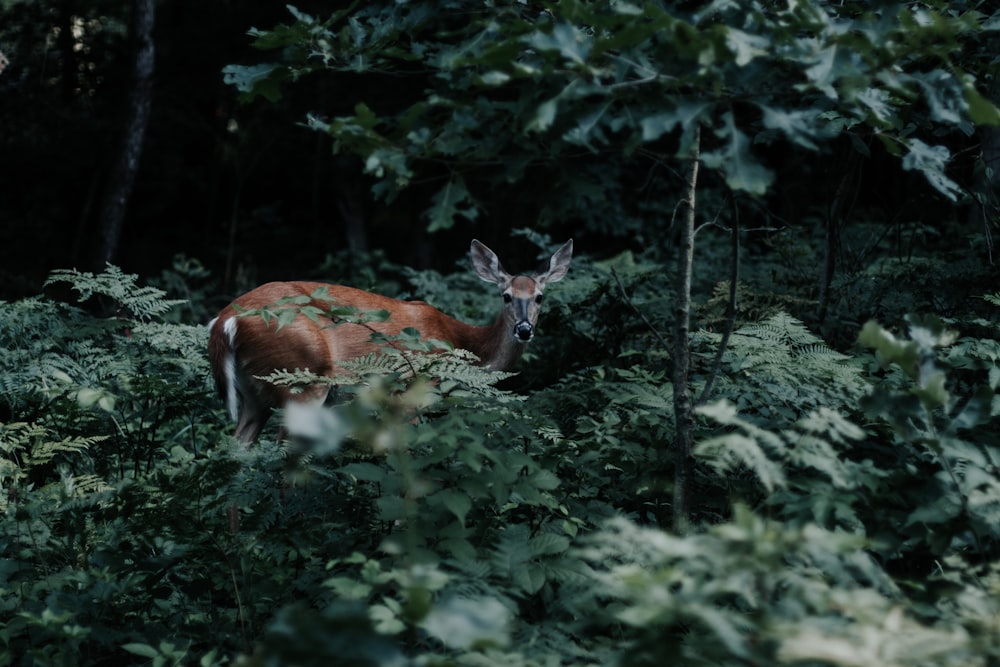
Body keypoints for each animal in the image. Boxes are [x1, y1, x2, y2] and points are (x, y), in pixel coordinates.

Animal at [207, 240, 576, 444]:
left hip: (254, 393)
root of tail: (225, 321)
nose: (524, 329)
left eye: (540, 297)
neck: (460, 342)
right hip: (303, 377)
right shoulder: (412, 393)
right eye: (506, 296)